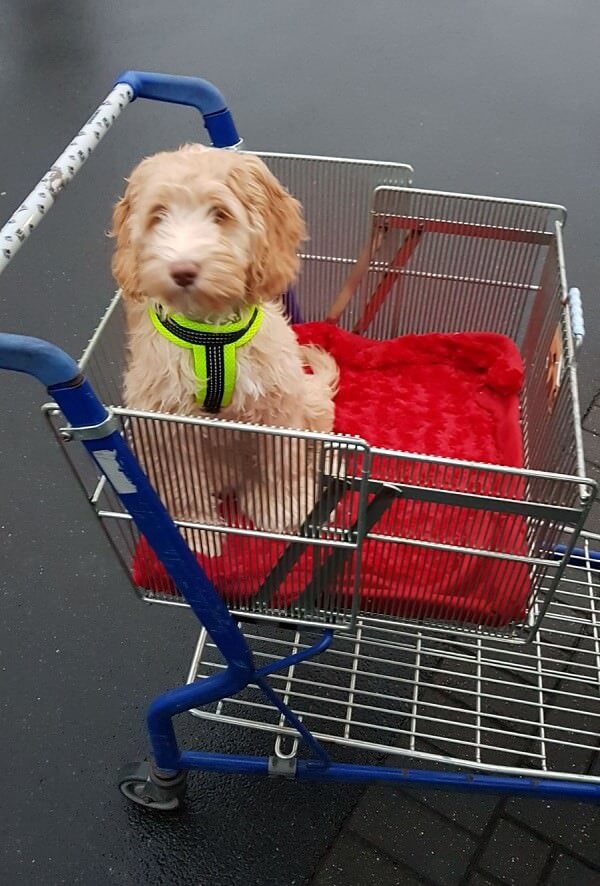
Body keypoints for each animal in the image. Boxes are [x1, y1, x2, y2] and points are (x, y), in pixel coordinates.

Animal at [112, 148, 338, 560]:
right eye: (158, 215)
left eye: (220, 213)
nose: (182, 270)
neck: (210, 334)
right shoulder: (165, 422)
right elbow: (182, 482)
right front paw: (197, 529)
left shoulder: (277, 402)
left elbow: (284, 462)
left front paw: (282, 508)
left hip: (309, 399)